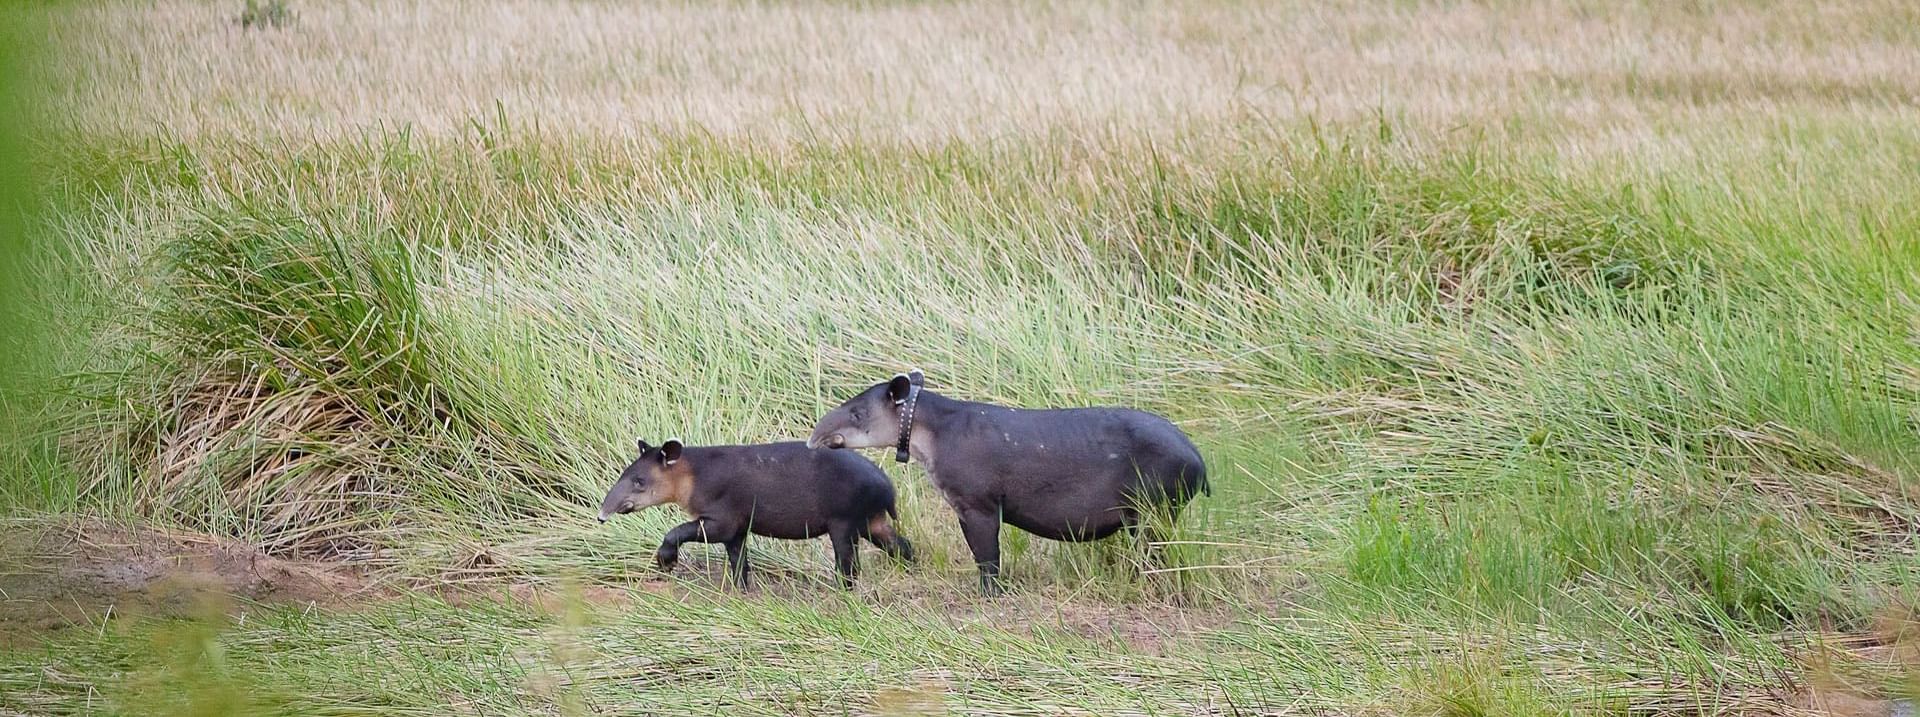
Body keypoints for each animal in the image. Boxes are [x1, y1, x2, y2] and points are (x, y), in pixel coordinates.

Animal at [597, 439, 914, 589]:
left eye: (639, 481)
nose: (602, 514)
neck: (691, 474)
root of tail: (888, 487)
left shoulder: (722, 515)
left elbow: (680, 531)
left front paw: (666, 562)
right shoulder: (738, 526)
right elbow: (738, 559)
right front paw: (741, 590)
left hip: (844, 518)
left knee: (848, 561)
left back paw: (842, 591)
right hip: (870, 519)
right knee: (899, 544)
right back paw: (911, 566)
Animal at [807, 370, 1207, 595]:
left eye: (857, 413)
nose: (815, 437)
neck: (928, 430)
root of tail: (1198, 458)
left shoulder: (977, 501)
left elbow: (987, 554)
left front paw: (989, 594)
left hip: (1155, 501)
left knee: (1155, 546)